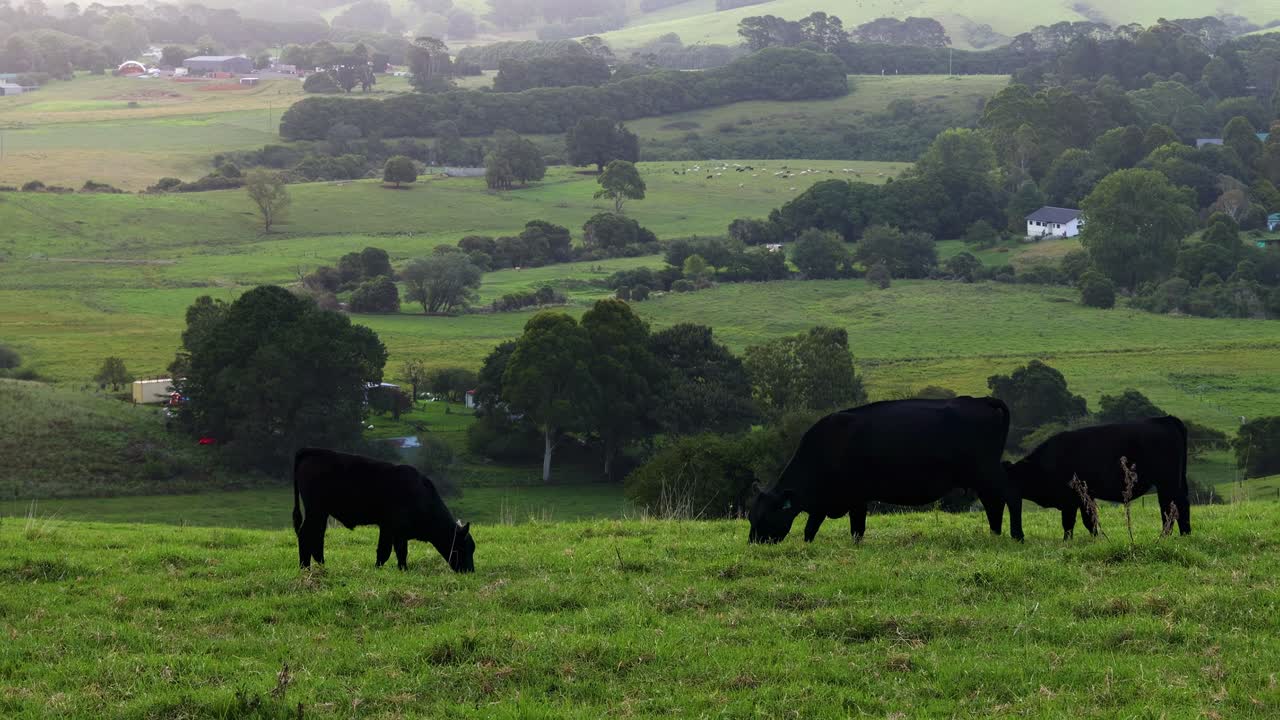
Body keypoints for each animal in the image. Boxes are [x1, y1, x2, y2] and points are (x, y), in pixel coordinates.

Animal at [292, 448, 475, 572]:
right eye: (465, 547)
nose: (469, 571)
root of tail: (310, 451)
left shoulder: (390, 528)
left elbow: (387, 551)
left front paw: (382, 569)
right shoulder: (396, 529)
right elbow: (395, 551)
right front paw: (399, 570)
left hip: (321, 513)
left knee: (317, 537)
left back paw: (321, 566)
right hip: (315, 510)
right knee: (305, 535)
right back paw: (305, 568)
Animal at [748, 397, 1016, 544]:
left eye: (764, 518)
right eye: (751, 517)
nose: (753, 544)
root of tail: (981, 400)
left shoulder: (856, 497)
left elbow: (857, 529)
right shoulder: (824, 502)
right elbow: (809, 529)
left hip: (987, 471)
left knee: (1010, 496)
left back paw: (1017, 536)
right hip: (980, 477)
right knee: (993, 503)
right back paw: (995, 534)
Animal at [1003, 416, 1190, 539]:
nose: (1017, 536)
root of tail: (1165, 419)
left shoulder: (1071, 498)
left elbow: (1073, 522)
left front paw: (1075, 541)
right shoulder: (1083, 496)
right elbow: (1085, 520)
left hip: (1167, 482)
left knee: (1169, 507)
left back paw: (1165, 536)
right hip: (1178, 481)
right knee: (1182, 505)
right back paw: (1185, 535)